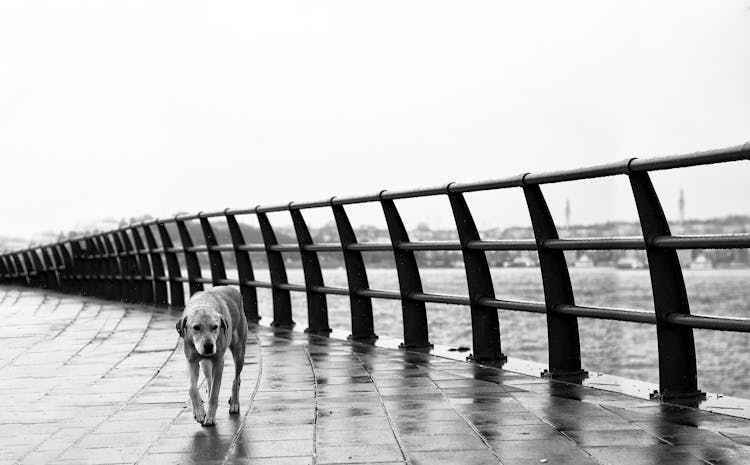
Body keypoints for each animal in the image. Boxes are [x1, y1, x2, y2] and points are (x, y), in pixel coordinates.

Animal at [176, 284, 247, 426]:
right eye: (196, 327)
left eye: (215, 327)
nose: (209, 346)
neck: (204, 303)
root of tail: (231, 287)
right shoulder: (191, 360)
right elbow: (192, 388)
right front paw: (199, 412)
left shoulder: (219, 361)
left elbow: (215, 392)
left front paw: (210, 416)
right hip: (205, 363)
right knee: (209, 379)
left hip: (239, 351)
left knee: (236, 379)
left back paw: (234, 403)